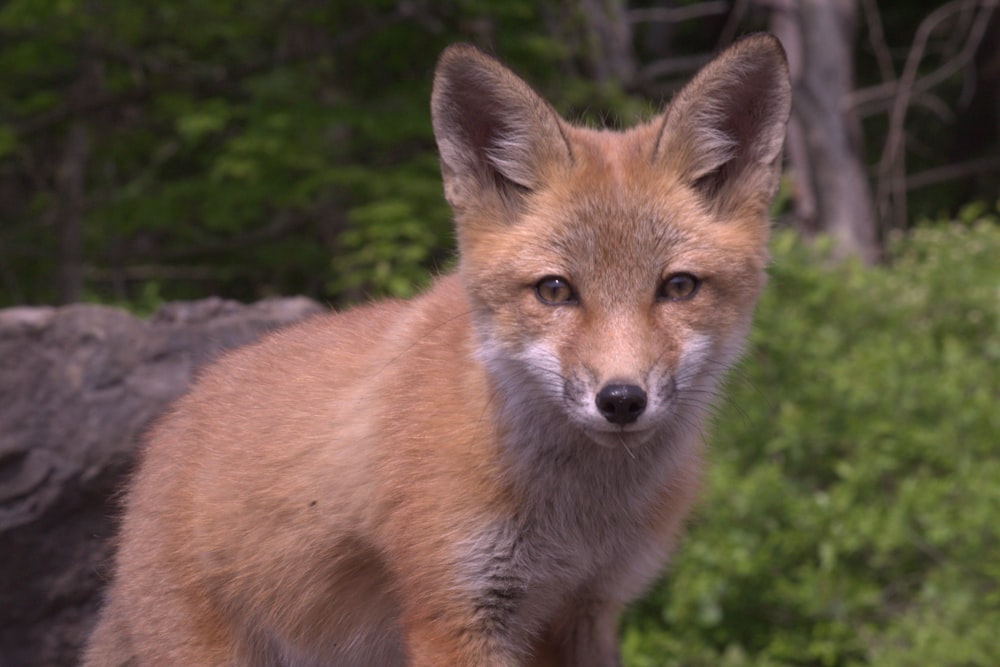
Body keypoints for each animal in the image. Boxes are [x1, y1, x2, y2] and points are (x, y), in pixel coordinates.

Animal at [84, 34, 788, 664]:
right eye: (555, 290)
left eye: (678, 287)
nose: (620, 400)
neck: (577, 516)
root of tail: (166, 433)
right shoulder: (454, 607)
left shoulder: (584, 610)